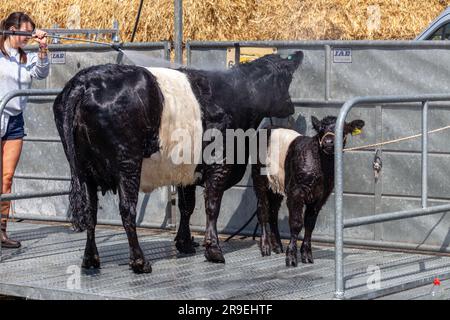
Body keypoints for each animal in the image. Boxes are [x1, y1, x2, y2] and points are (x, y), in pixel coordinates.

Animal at [54, 51, 304, 274]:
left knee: (90, 212)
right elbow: (212, 205)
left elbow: (187, 206)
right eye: (287, 77)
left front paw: (185, 243)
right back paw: (140, 262)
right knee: (127, 210)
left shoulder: (188, 170)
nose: (292, 108)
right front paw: (213, 249)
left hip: (83, 170)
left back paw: (90, 259)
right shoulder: (220, 163)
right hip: (128, 163)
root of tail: (84, 82)